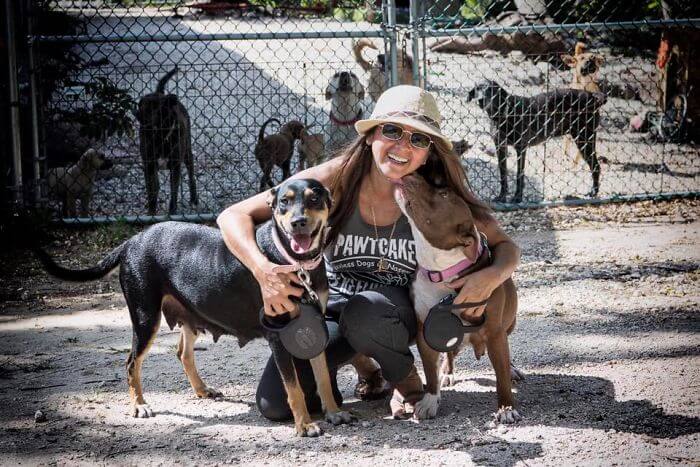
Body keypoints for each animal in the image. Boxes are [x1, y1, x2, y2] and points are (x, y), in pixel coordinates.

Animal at [34, 179, 350, 438]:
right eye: (284, 201)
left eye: (314, 198)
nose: (298, 222)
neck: (294, 261)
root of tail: (131, 241)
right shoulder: (278, 334)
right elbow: (294, 388)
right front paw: (305, 425)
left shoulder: (315, 324)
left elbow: (322, 375)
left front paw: (334, 412)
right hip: (145, 318)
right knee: (131, 362)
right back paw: (139, 405)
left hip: (189, 312)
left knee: (182, 353)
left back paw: (201, 389)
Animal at [396, 174, 524, 426]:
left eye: (444, 194)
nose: (412, 174)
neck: (442, 272)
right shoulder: (425, 329)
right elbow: (429, 371)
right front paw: (430, 401)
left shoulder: (495, 332)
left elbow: (501, 374)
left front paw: (506, 408)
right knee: (448, 353)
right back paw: (447, 372)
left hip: (510, 323)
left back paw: (512, 370)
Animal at [470, 80, 608, 203]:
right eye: (477, 89)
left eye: (490, 89)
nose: (480, 100)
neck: (503, 113)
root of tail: (592, 95)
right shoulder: (500, 146)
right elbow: (503, 174)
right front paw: (502, 197)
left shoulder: (521, 148)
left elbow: (520, 174)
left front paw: (517, 198)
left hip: (585, 139)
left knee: (596, 166)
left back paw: (593, 192)